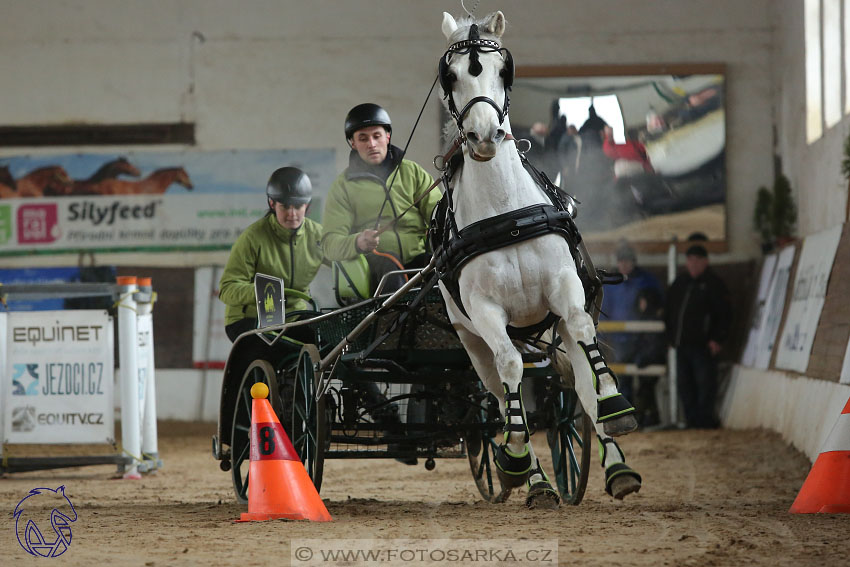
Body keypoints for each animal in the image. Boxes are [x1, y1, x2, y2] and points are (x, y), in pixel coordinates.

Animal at [438, 8, 636, 508]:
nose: (484, 136)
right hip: (473, 342)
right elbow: (511, 374)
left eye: (500, 70)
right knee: (501, 394)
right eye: (451, 75)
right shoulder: (485, 312)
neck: (505, 214)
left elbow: (585, 346)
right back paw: (534, 477)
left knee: (579, 382)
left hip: (554, 324)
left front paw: (616, 404)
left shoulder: (565, 289)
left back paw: (617, 466)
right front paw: (514, 458)